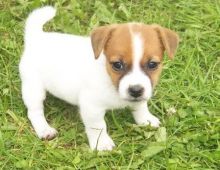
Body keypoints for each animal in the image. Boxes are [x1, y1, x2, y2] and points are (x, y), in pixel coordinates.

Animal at [19, 6, 180, 150]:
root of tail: (36, 38)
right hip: (33, 88)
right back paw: (44, 129)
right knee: (34, 111)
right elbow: (98, 126)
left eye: (153, 64)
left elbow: (140, 106)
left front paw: (146, 119)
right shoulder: (91, 108)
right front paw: (102, 143)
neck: (110, 80)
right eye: (117, 65)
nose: (135, 90)